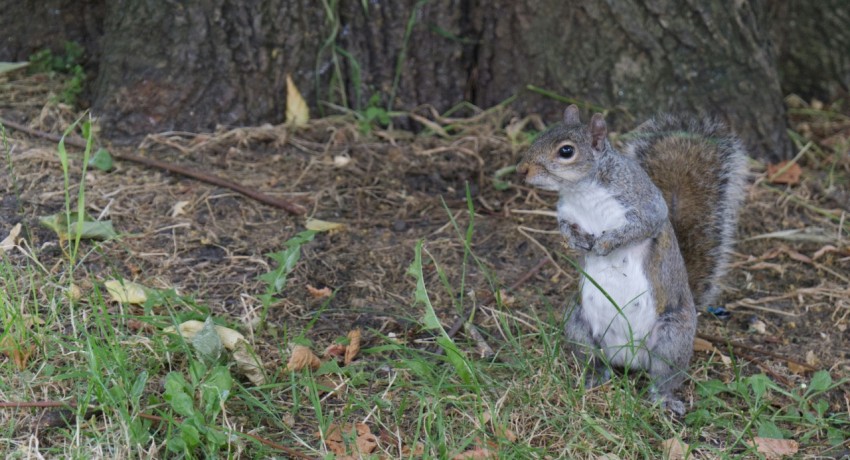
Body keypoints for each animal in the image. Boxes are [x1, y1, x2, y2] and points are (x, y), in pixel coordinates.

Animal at [512, 106, 744, 416]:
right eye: (541, 135)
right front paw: (575, 242)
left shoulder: (646, 205)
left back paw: (663, 399)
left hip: (672, 338)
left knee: (664, 377)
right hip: (577, 325)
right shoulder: (566, 213)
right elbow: (565, 229)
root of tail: (628, 357)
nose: (522, 170)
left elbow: (642, 226)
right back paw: (594, 378)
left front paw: (607, 243)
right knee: (594, 360)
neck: (583, 190)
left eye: (566, 151)